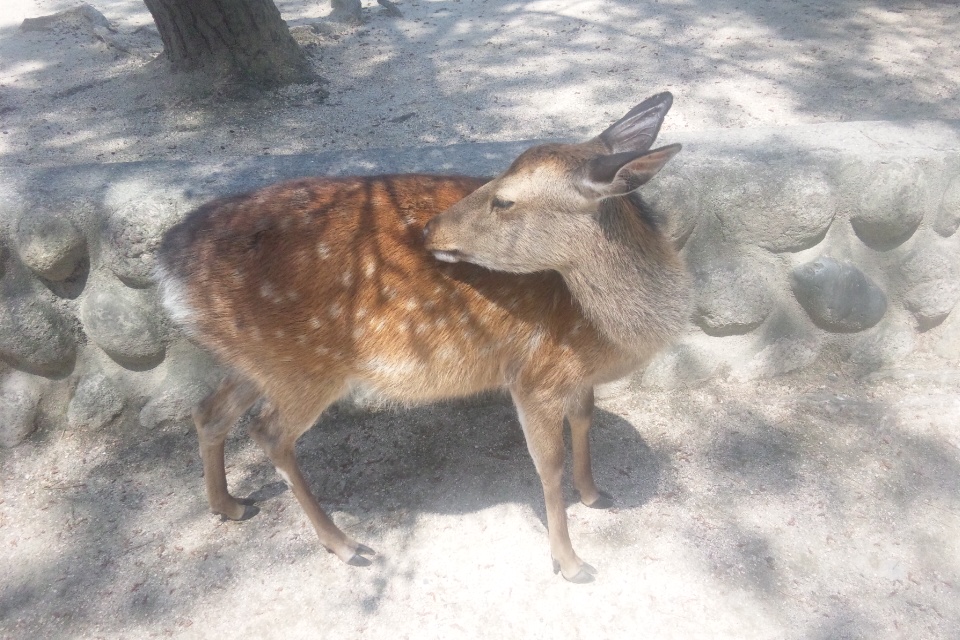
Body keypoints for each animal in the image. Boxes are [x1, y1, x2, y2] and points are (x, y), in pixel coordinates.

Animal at [156, 91, 688, 584]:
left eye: (504, 199)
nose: (431, 229)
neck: (614, 335)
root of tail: (169, 267)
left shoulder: (574, 374)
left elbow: (585, 419)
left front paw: (596, 494)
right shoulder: (534, 373)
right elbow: (548, 464)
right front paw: (572, 563)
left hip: (256, 358)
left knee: (208, 411)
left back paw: (230, 505)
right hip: (303, 364)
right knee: (267, 432)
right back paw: (346, 544)